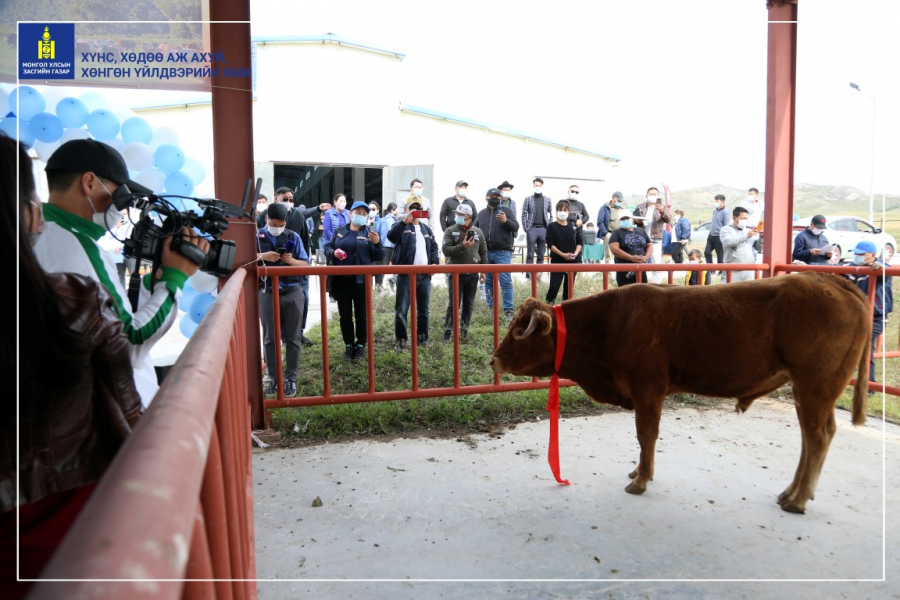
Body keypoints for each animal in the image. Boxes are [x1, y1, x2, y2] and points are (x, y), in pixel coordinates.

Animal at [492, 274, 872, 512]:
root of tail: (830, 280)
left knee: (818, 436)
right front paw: (637, 471)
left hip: (815, 385)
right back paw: (790, 493)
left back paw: (798, 499)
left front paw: (641, 479)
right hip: (807, 389)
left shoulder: (648, 388)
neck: (611, 323)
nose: (493, 359)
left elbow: (646, 434)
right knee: (811, 438)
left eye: (518, 331)